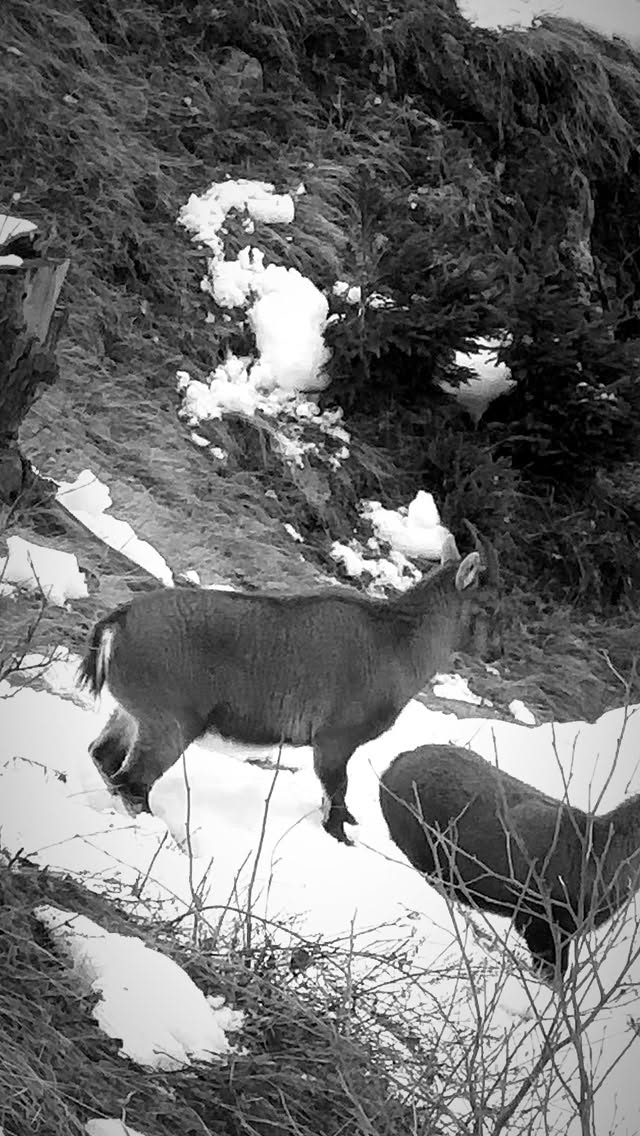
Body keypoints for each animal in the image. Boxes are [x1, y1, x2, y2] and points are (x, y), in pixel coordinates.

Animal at [78, 536, 482, 844]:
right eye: (482, 608)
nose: (487, 652)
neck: (397, 643)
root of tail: (115, 624)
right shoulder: (334, 740)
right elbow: (336, 791)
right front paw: (340, 837)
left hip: (132, 714)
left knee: (104, 756)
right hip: (171, 723)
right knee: (132, 782)